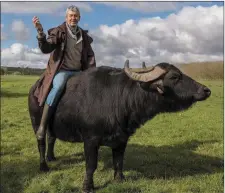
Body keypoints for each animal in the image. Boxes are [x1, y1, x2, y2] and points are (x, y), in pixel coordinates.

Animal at [28, 59, 211, 192]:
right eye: (174, 77)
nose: (206, 90)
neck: (118, 99)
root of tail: (34, 89)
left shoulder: (122, 139)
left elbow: (119, 161)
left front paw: (119, 179)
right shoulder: (90, 140)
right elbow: (91, 165)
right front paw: (87, 186)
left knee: (51, 138)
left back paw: (51, 157)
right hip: (36, 122)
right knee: (41, 140)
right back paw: (43, 165)